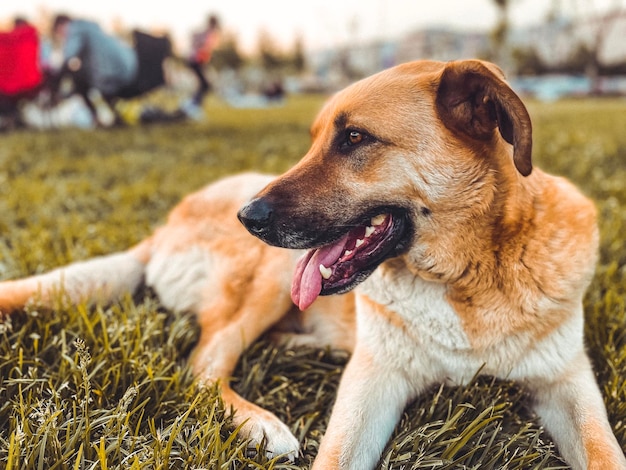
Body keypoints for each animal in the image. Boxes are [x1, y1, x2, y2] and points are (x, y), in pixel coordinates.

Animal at [238, 59, 624, 470]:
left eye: (355, 137)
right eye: (314, 141)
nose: (246, 217)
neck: (464, 276)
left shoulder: (566, 381)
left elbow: (604, 453)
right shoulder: (373, 382)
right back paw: (264, 427)